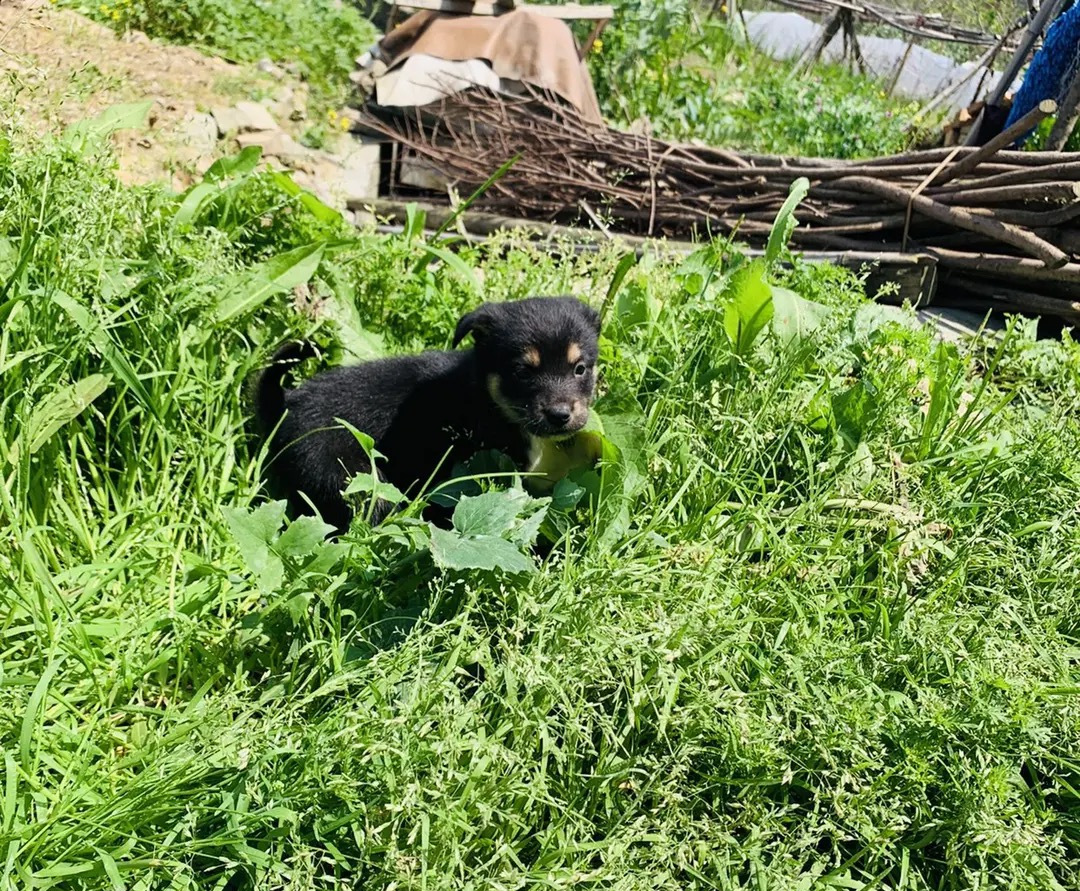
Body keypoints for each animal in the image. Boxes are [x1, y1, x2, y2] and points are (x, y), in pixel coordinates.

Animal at [257, 295, 604, 531]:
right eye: (522, 372)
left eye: (580, 369)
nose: (560, 414)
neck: (487, 399)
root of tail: (286, 407)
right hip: (347, 473)